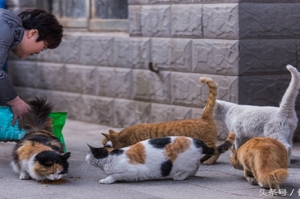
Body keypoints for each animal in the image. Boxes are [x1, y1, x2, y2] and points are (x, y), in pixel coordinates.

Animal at [85, 132, 236, 183]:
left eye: (90, 153)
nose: (86, 156)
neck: (111, 156)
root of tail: (198, 141)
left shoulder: (130, 171)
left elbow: (114, 176)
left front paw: (105, 180)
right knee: (196, 165)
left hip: (182, 163)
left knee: (191, 167)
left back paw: (179, 177)